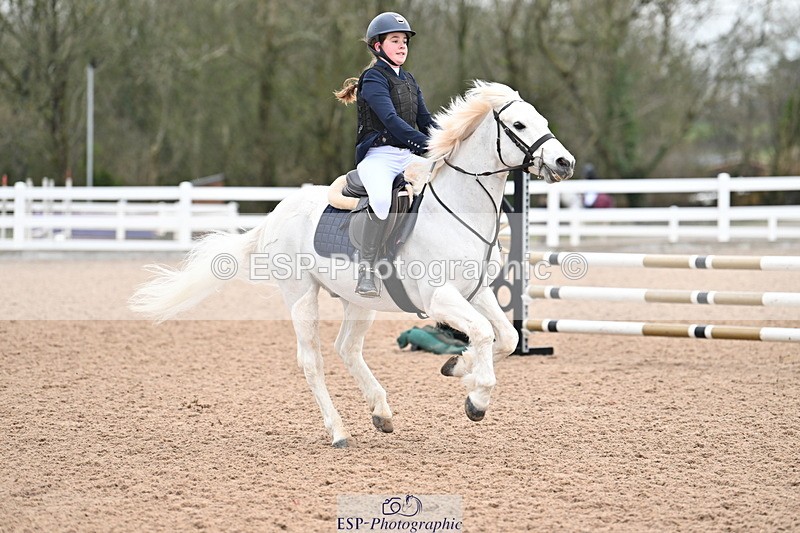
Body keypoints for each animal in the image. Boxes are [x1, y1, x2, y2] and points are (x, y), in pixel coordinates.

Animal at [129, 81, 575, 447]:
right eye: (519, 124)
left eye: (542, 121)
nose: (565, 163)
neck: (455, 210)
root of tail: (275, 214)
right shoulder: (441, 298)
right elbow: (483, 334)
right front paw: (476, 398)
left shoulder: (476, 292)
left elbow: (507, 338)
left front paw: (456, 366)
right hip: (301, 296)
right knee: (312, 362)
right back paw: (339, 431)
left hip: (359, 302)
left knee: (347, 348)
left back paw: (381, 412)